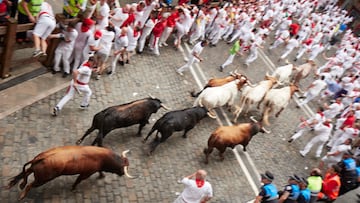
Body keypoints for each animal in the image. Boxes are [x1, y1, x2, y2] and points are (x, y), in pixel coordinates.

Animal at [4, 146, 134, 200]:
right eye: (123, 168)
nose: (122, 174)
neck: (103, 157)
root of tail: (42, 157)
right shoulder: (85, 173)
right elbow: (78, 181)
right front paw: (73, 188)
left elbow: (100, 171)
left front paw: (102, 175)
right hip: (42, 179)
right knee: (30, 184)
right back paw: (22, 195)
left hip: (35, 170)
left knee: (26, 173)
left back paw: (18, 184)